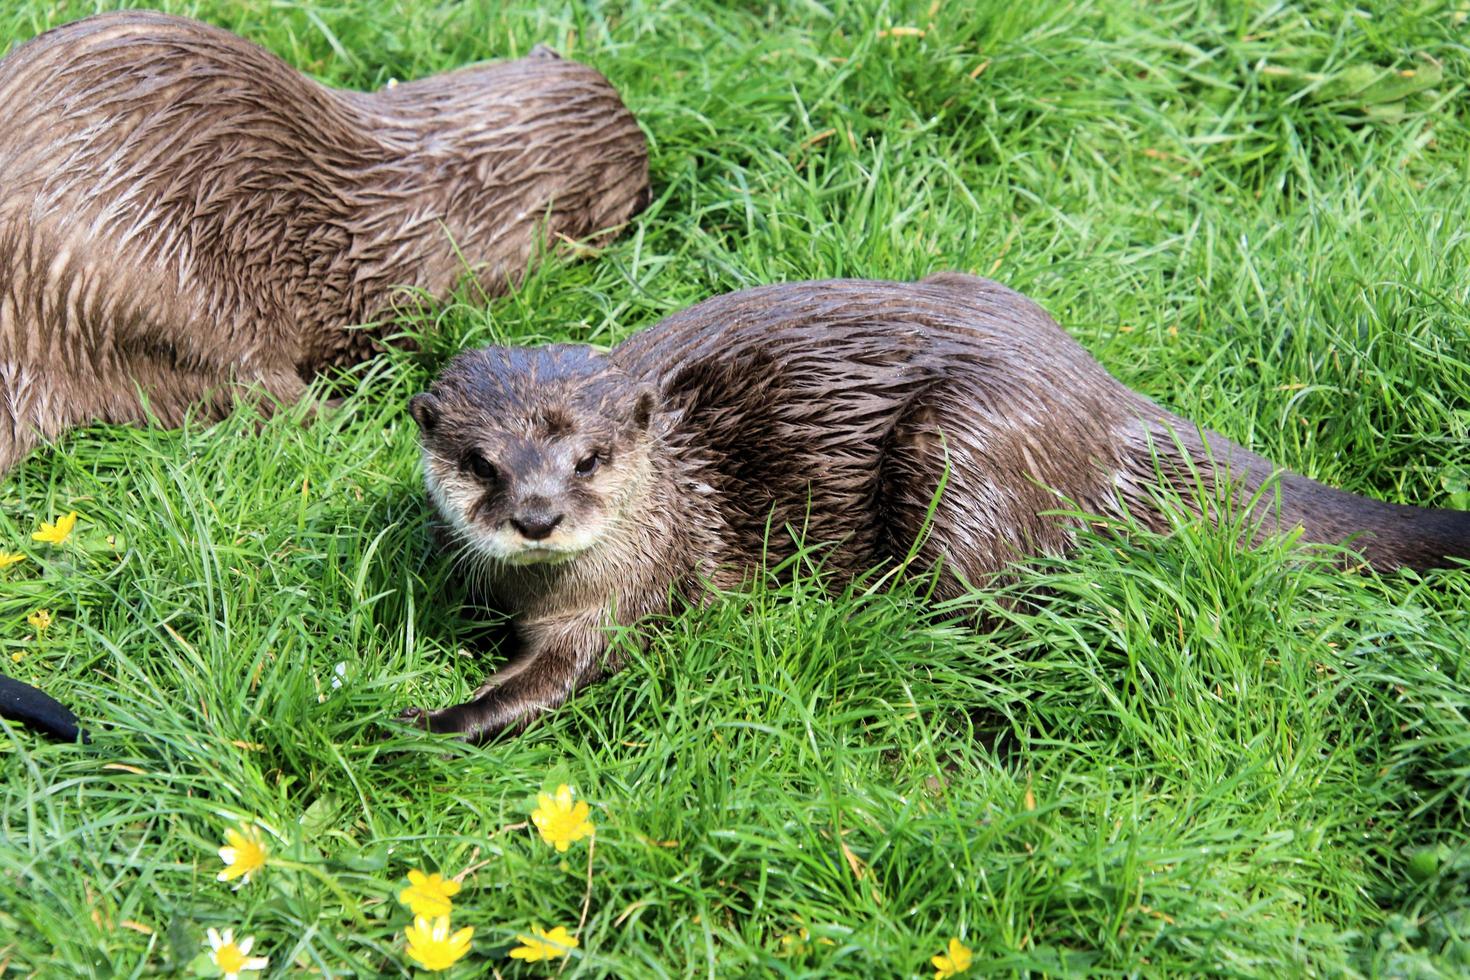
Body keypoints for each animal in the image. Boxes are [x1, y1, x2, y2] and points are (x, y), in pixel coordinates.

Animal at [405, 271, 1470, 740]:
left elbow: (560, 677)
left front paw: (426, 721)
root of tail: (1100, 399)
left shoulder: (635, 588)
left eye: (588, 459)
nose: (537, 516)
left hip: (968, 450)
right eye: (480, 463)